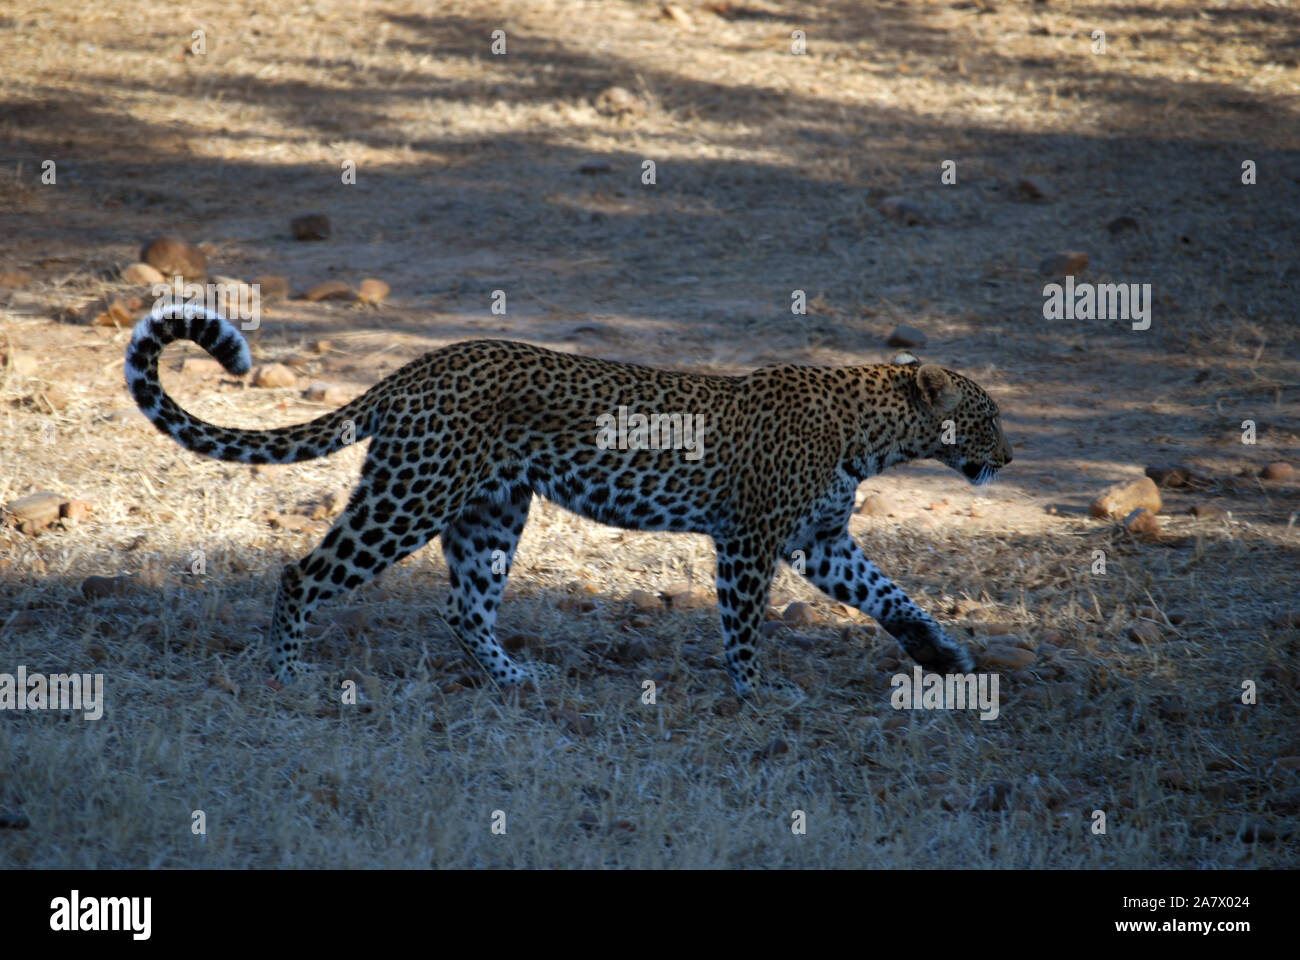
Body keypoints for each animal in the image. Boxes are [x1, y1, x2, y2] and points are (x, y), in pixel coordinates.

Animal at [126, 303, 1008, 692]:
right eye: (988, 415)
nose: (1009, 455)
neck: (876, 432)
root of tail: (416, 367)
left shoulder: (822, 540)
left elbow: (892, 595)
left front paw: (943, 655)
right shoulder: (752, 542)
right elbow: (744, 627)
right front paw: (757, 693)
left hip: (490, 511)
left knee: (465, 607)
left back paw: (514, 678)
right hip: (413, 494)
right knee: (304, 573)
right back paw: (287, 672)